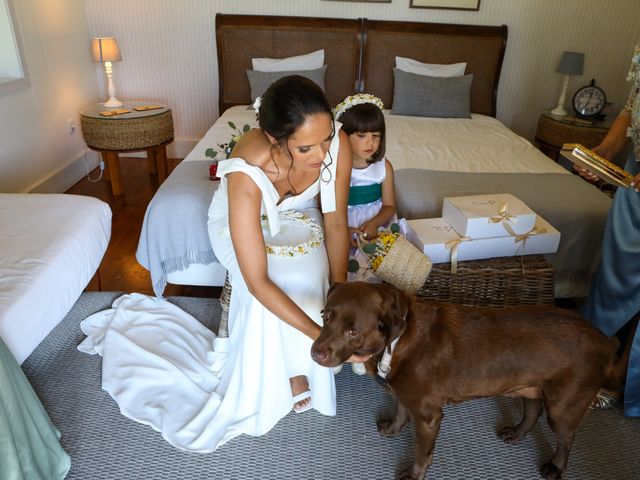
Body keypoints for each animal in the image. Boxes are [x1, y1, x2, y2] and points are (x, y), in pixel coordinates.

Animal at [310, 284, 616, 480]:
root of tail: (603, 339)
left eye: (353, 332)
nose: (316, 352)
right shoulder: (406, 395)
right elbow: (400, 411)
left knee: (567, 438)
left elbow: (422, 451)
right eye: (325, 316)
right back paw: (516, 434)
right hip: (530, 387)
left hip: (564, 406)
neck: (397, 341)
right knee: (532, 411)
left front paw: (413, 474)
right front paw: (392, 428)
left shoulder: (428, 415)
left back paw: (555, 467)